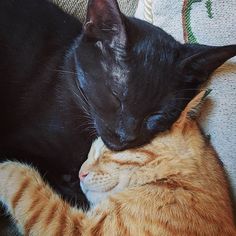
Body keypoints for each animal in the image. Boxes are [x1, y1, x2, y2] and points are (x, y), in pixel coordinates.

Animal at [0, 91, 235, 235]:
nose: (80, 173)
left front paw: (5, 168)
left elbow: (27, 190)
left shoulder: (76, 228)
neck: (178, 181)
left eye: (108, 149)